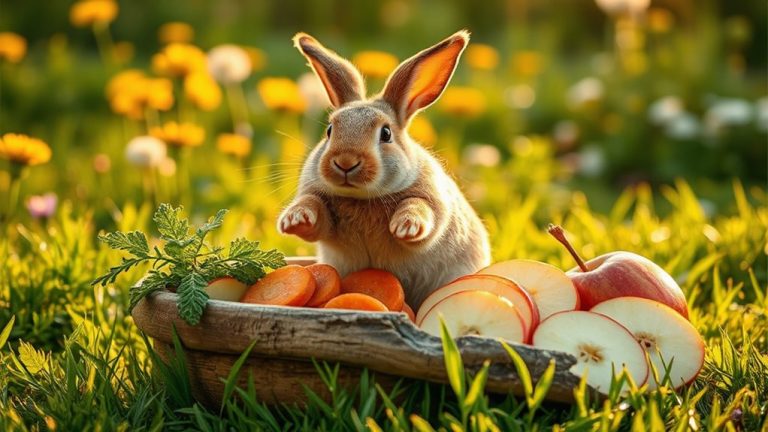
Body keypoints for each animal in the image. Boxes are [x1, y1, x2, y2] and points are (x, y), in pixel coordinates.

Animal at [277, 30, 491, 308]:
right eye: (330, 130)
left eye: (386, 133)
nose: (345, 162)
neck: (361, 199)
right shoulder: (320, 206)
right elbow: (314, 213)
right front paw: (295, 219)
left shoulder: (431, 203)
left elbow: (419, 210)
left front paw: (407, 226)